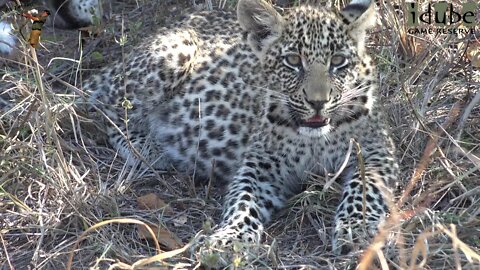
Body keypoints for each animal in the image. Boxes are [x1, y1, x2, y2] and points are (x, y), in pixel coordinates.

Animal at [87, 0, 402, 258]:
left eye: (338, 62)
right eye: (293, 61)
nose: (317, 102)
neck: (313, 140)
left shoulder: (376, 151)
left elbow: (365, 188)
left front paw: (357, 228)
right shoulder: (261, 161)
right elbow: (244, 199)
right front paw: (231, 239)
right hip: (172, 54)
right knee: (105, 108)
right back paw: (149, 149)